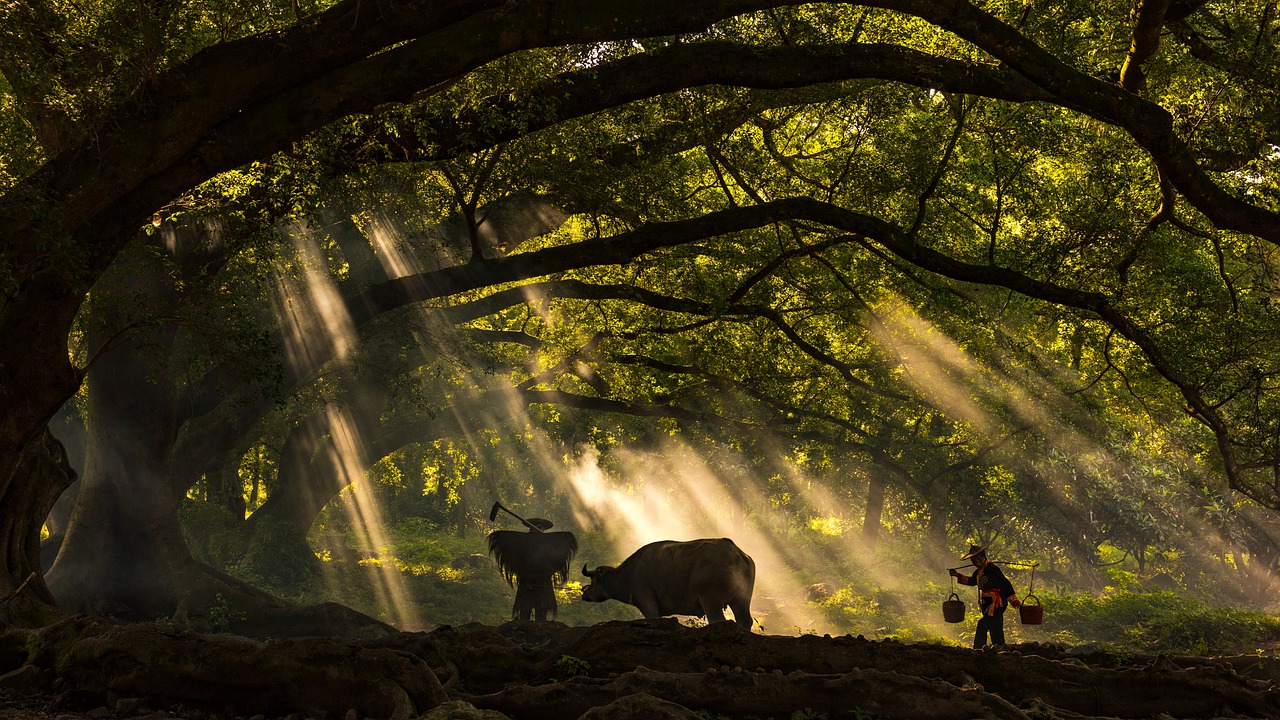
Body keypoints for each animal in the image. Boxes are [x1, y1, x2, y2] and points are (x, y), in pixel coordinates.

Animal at [581, 537, 755, 629]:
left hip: (710, 600)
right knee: (745, 621)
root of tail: (737, 553)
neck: (629, 573)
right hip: (741, 600)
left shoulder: (647, 603)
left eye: (593, 579)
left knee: (718, 620)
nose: (584, 594)